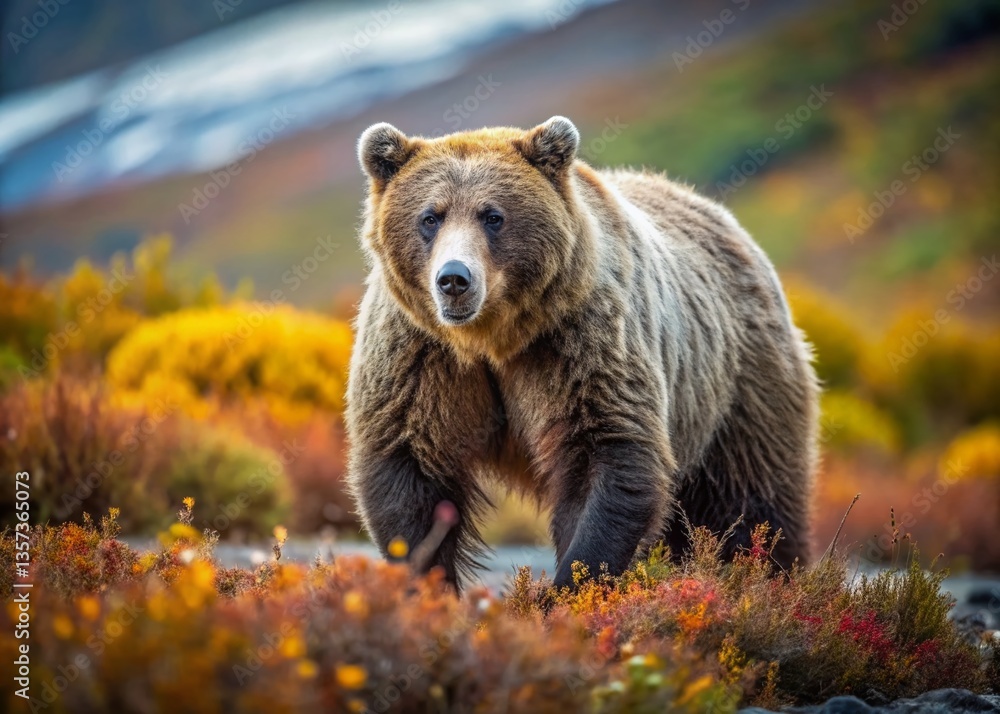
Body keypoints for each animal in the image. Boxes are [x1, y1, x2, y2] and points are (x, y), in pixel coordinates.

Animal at [346, 116, 819, 590]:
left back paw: (771, 573)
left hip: (739, 385)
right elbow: (409, 467)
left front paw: (568, 585)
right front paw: (429, 584)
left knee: (751, 499)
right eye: (430, 216)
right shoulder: (419, 354)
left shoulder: (580, 340)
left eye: (493, 216)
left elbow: (606, 451)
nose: (454, 279)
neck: (492, 338)